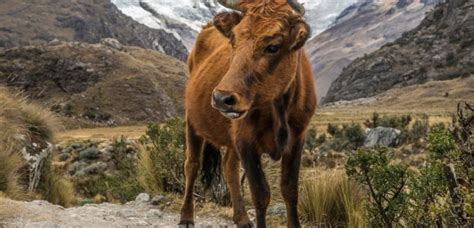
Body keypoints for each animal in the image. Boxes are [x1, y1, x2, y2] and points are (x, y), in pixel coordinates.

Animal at [180, 0, 316, 227]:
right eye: (233, 40)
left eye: (273, 46)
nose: (222, 97)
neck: (278, 108)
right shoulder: (246, 142)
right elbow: (260, 194)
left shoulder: (297, 139)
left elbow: (290, 190)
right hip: (192, 121)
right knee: (192, 164)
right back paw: (186, 216)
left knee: (229, 167)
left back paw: (242, 218)